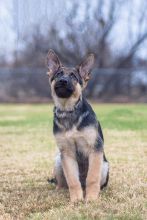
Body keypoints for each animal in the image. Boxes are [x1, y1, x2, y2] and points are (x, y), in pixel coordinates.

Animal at [46, 49, 109, 203]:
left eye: (73, 76)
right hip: (58, 160)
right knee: (63, 183)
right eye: (58, 74)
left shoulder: (95, 148)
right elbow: (72, 180)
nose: (62, 81)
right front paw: (76, 199)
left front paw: (91, 198)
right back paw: (59, 190)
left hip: (104, 165)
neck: (68, 110)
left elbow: (92, 177)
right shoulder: (67, 152)